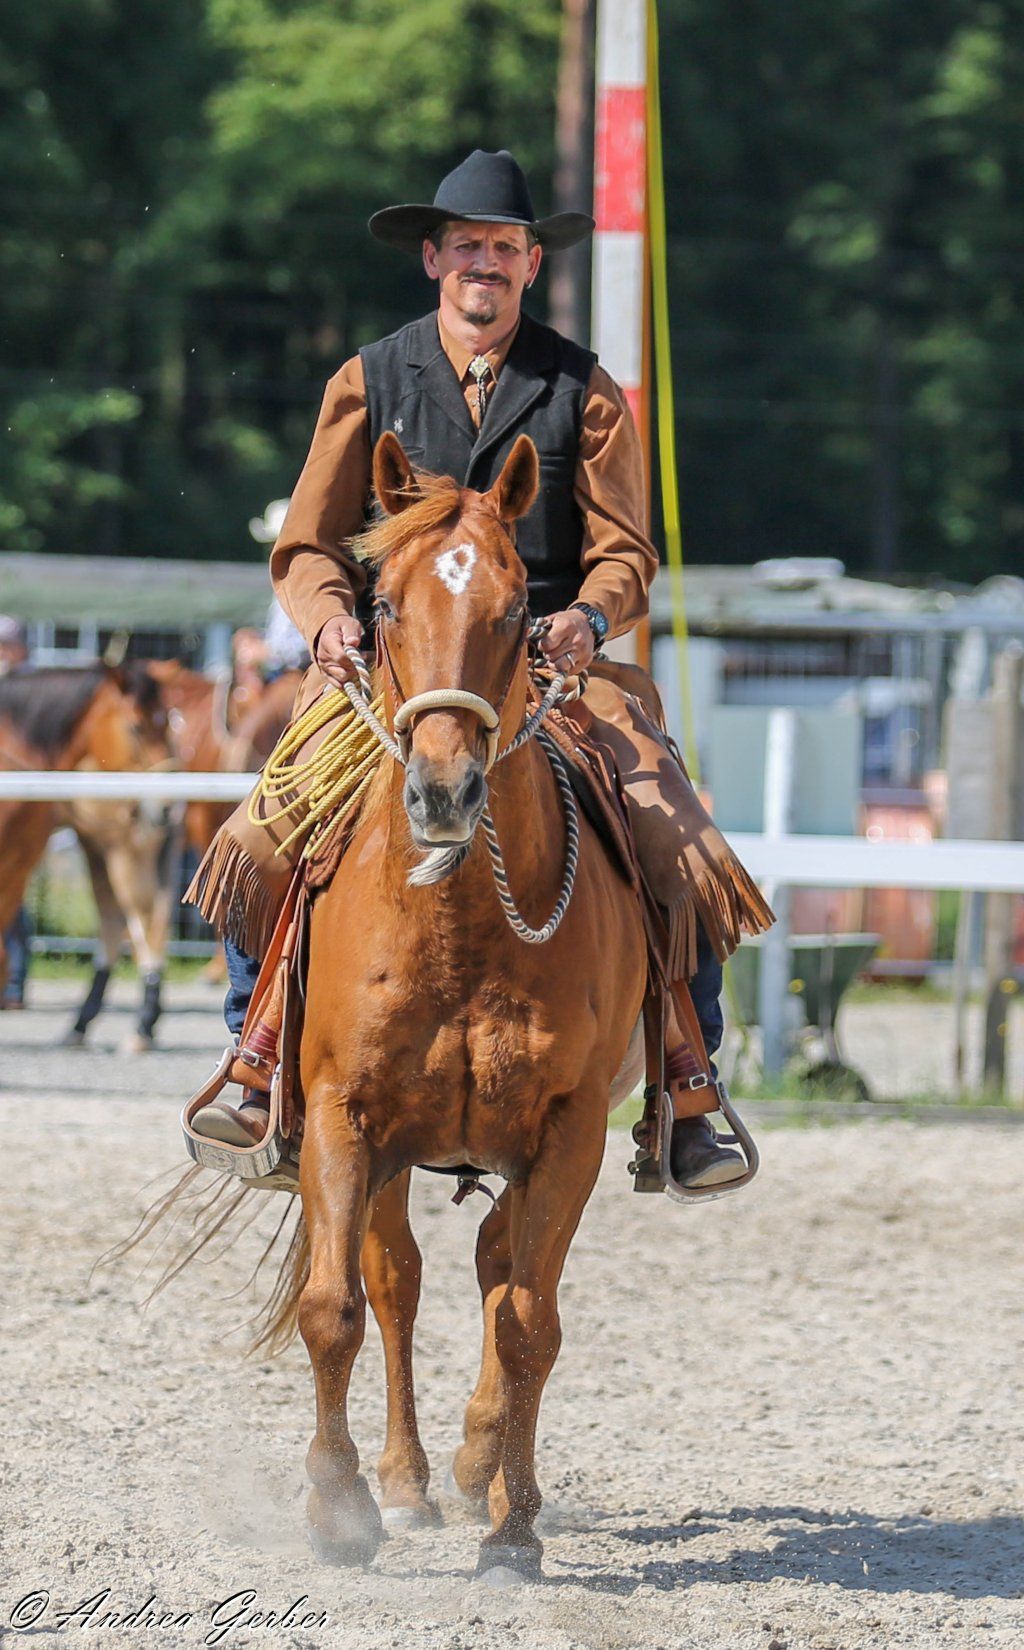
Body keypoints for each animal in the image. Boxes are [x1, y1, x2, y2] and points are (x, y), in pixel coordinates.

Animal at [281, 432, 647, 1580]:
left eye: (518, 606)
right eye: (384, 605)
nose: (444, 790)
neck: (459, 926)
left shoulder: (569, 1133)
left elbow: (528, 1321)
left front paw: (511, 1525)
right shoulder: (342, 1114)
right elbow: (335, 1305)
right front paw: (338, 1507)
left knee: (499, 1274)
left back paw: (483, 1468)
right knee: (395, 1278)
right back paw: (403, 1483)